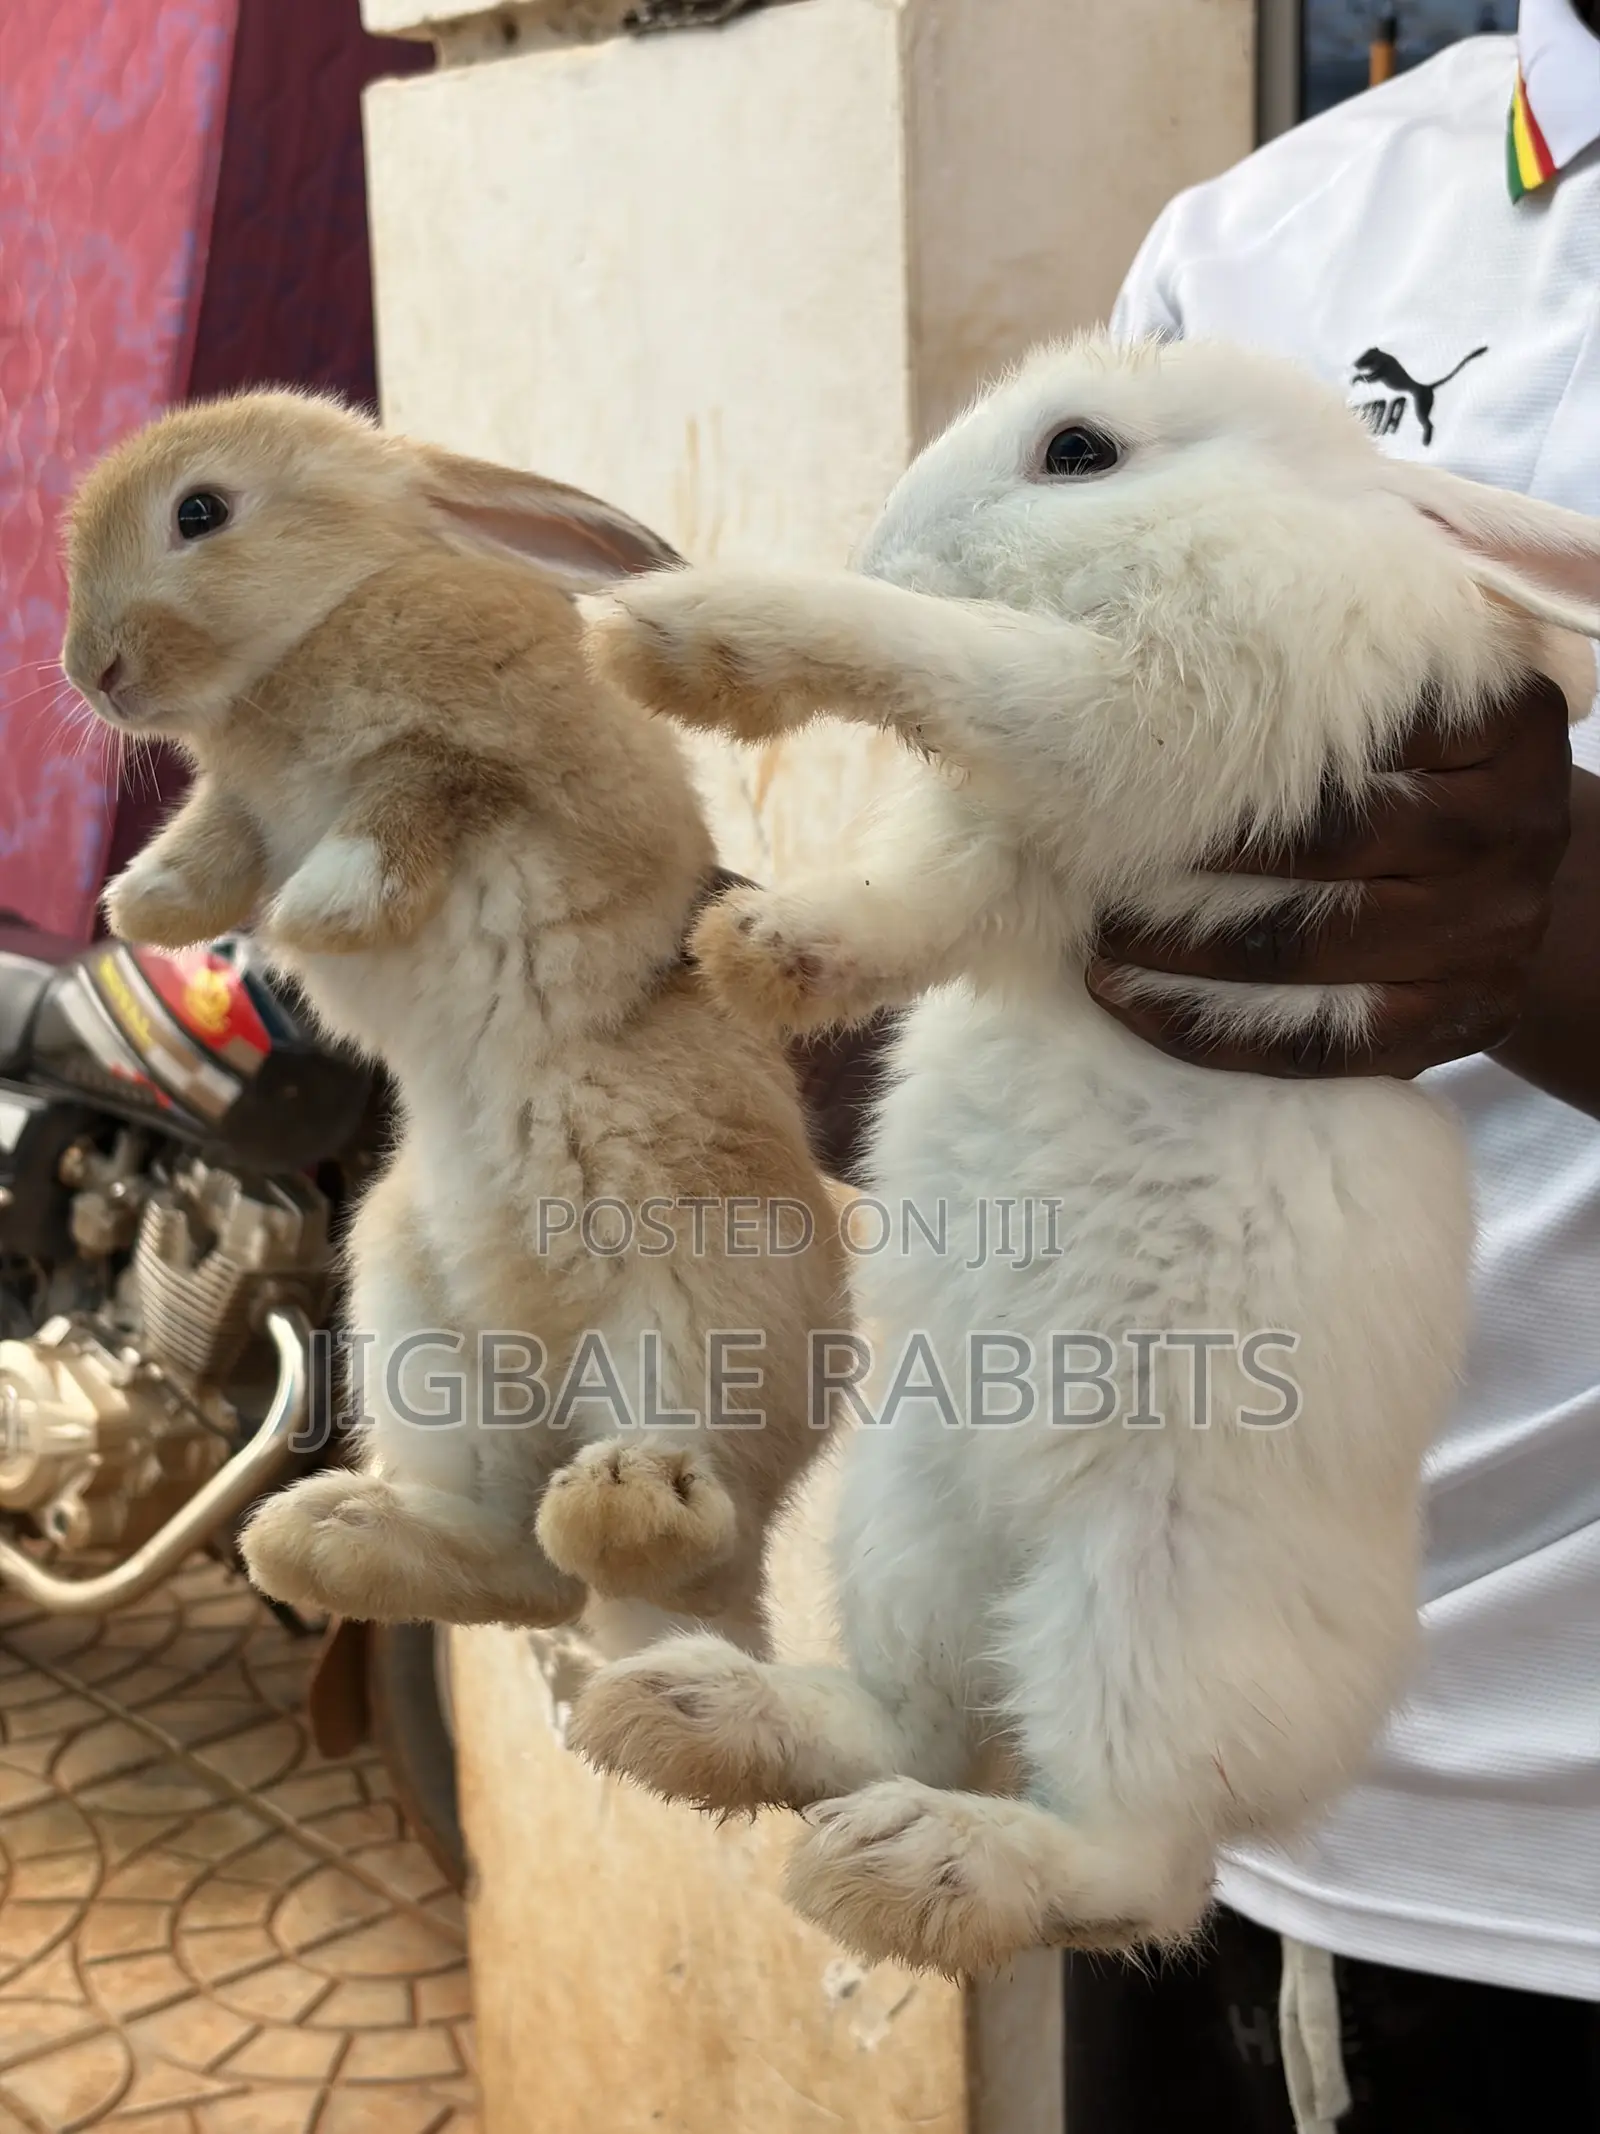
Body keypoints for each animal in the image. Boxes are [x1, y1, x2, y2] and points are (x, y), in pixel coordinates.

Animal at [60, 389, 847, 1653]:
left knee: (679, 1522)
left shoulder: (505, 762)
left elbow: (415, 796)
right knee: (525, 1567)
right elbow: (221, 835)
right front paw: (148, 903)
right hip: (413, 1324)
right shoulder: (252, 809)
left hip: (703, 1302)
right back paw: (324, 1533)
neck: (329, 617)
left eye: (200, 511)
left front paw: (324, 905)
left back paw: (625, 1500)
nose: (95, 673)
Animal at [567, 334, 1600, 1975]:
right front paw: (760, 950)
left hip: (1148, 1607)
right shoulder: (1024, 861)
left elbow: (960, 661)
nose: (885, 540)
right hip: (904, 1515)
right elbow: (916, 897)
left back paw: (919, 1866)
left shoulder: (1154, 712)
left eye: (1078, 452)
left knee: (1136, 1862)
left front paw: (692, 628)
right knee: (913, 1719)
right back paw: (693, 1712)